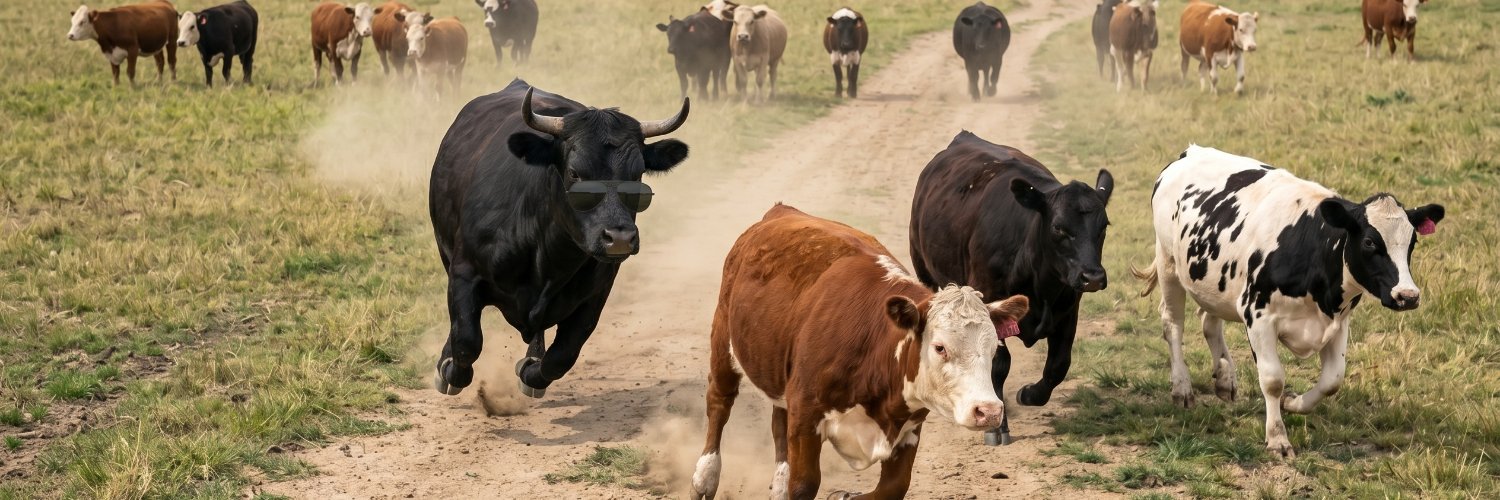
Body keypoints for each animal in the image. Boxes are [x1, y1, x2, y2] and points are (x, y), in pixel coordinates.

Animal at [428, 79, 690, 399]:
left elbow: (562, 356)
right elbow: (466, 340)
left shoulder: (595, 295)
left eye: (638, 173)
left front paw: (530, 372)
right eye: (575, 173)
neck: (545, 252)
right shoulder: (464, 272)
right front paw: (449, 370)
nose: (619, 238)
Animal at [691, 203, 1030, 500]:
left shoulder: (908, 429)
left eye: (993, 349)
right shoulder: (805, 414)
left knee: (777, 423)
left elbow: (892, 488)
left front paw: (842, 495)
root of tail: (781, 211)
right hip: (723, 341)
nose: (989, 411)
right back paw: (704, 478)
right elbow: (804, 485)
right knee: (719, 403)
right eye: (940, 347)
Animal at [909, 131, 1114, 446]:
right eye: (1058, 227)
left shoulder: (1068, 311)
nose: (1092, 276)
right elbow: (998, 363)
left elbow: (1058, 365)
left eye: (1103, 226)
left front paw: (1029, 394)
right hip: (925, 271)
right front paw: (996, 427)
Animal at [1134, 145, 1445, 458]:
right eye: (1370, 242)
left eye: (1412, 242)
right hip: (1168, 262)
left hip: (1213, 279)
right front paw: (1277, 438)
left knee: (1209, 320)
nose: (1407, 295)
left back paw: (1225, 378)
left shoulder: (1338, 321)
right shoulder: (1258, 316)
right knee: (1172, 324)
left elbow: (1332, 380)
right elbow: (1272, 380)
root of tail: (1191, 151)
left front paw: (1292, 402)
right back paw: (1182, 388)